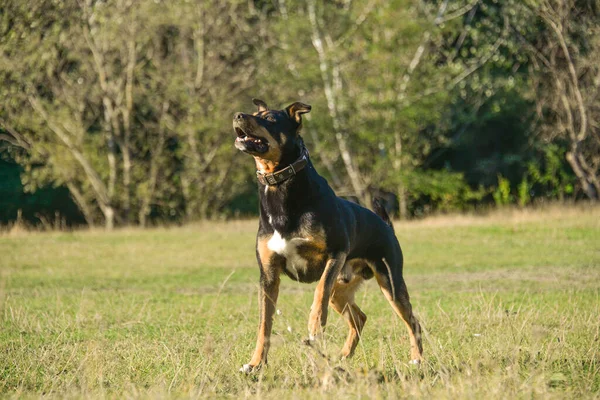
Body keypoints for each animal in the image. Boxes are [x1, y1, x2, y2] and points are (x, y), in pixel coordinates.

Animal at [232, 98, 424, 374]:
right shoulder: (268, 275)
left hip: (390, 283)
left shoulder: (335, 253)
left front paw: (314, 323)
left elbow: (319, 291)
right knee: (359, 318)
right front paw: (256, 364)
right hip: (342, 290)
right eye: (256, 113)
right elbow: (264, 324)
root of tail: (386, 225)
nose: (237, 115)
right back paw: (342, 356)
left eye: (269, 118)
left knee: (412, 321)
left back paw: (417, 359)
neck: (281, 188)